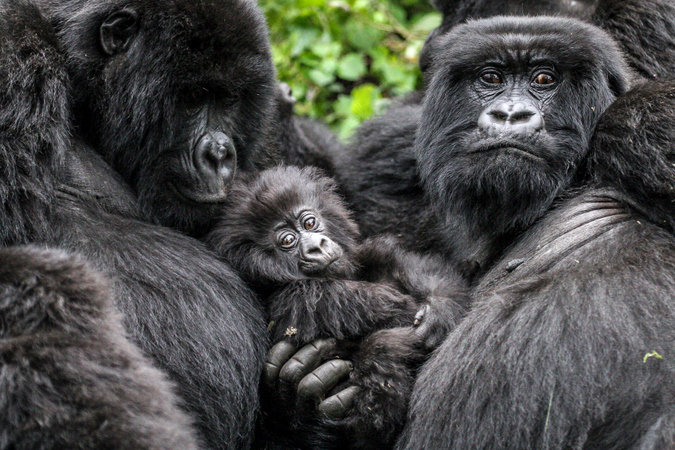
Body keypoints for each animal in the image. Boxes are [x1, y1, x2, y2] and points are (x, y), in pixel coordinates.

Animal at [207, 167, 470, 448]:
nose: (316, 246)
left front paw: (439, 309)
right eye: (287, 240)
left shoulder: (367, 253)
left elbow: (414, 267)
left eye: (309, 223)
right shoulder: (294, 298)